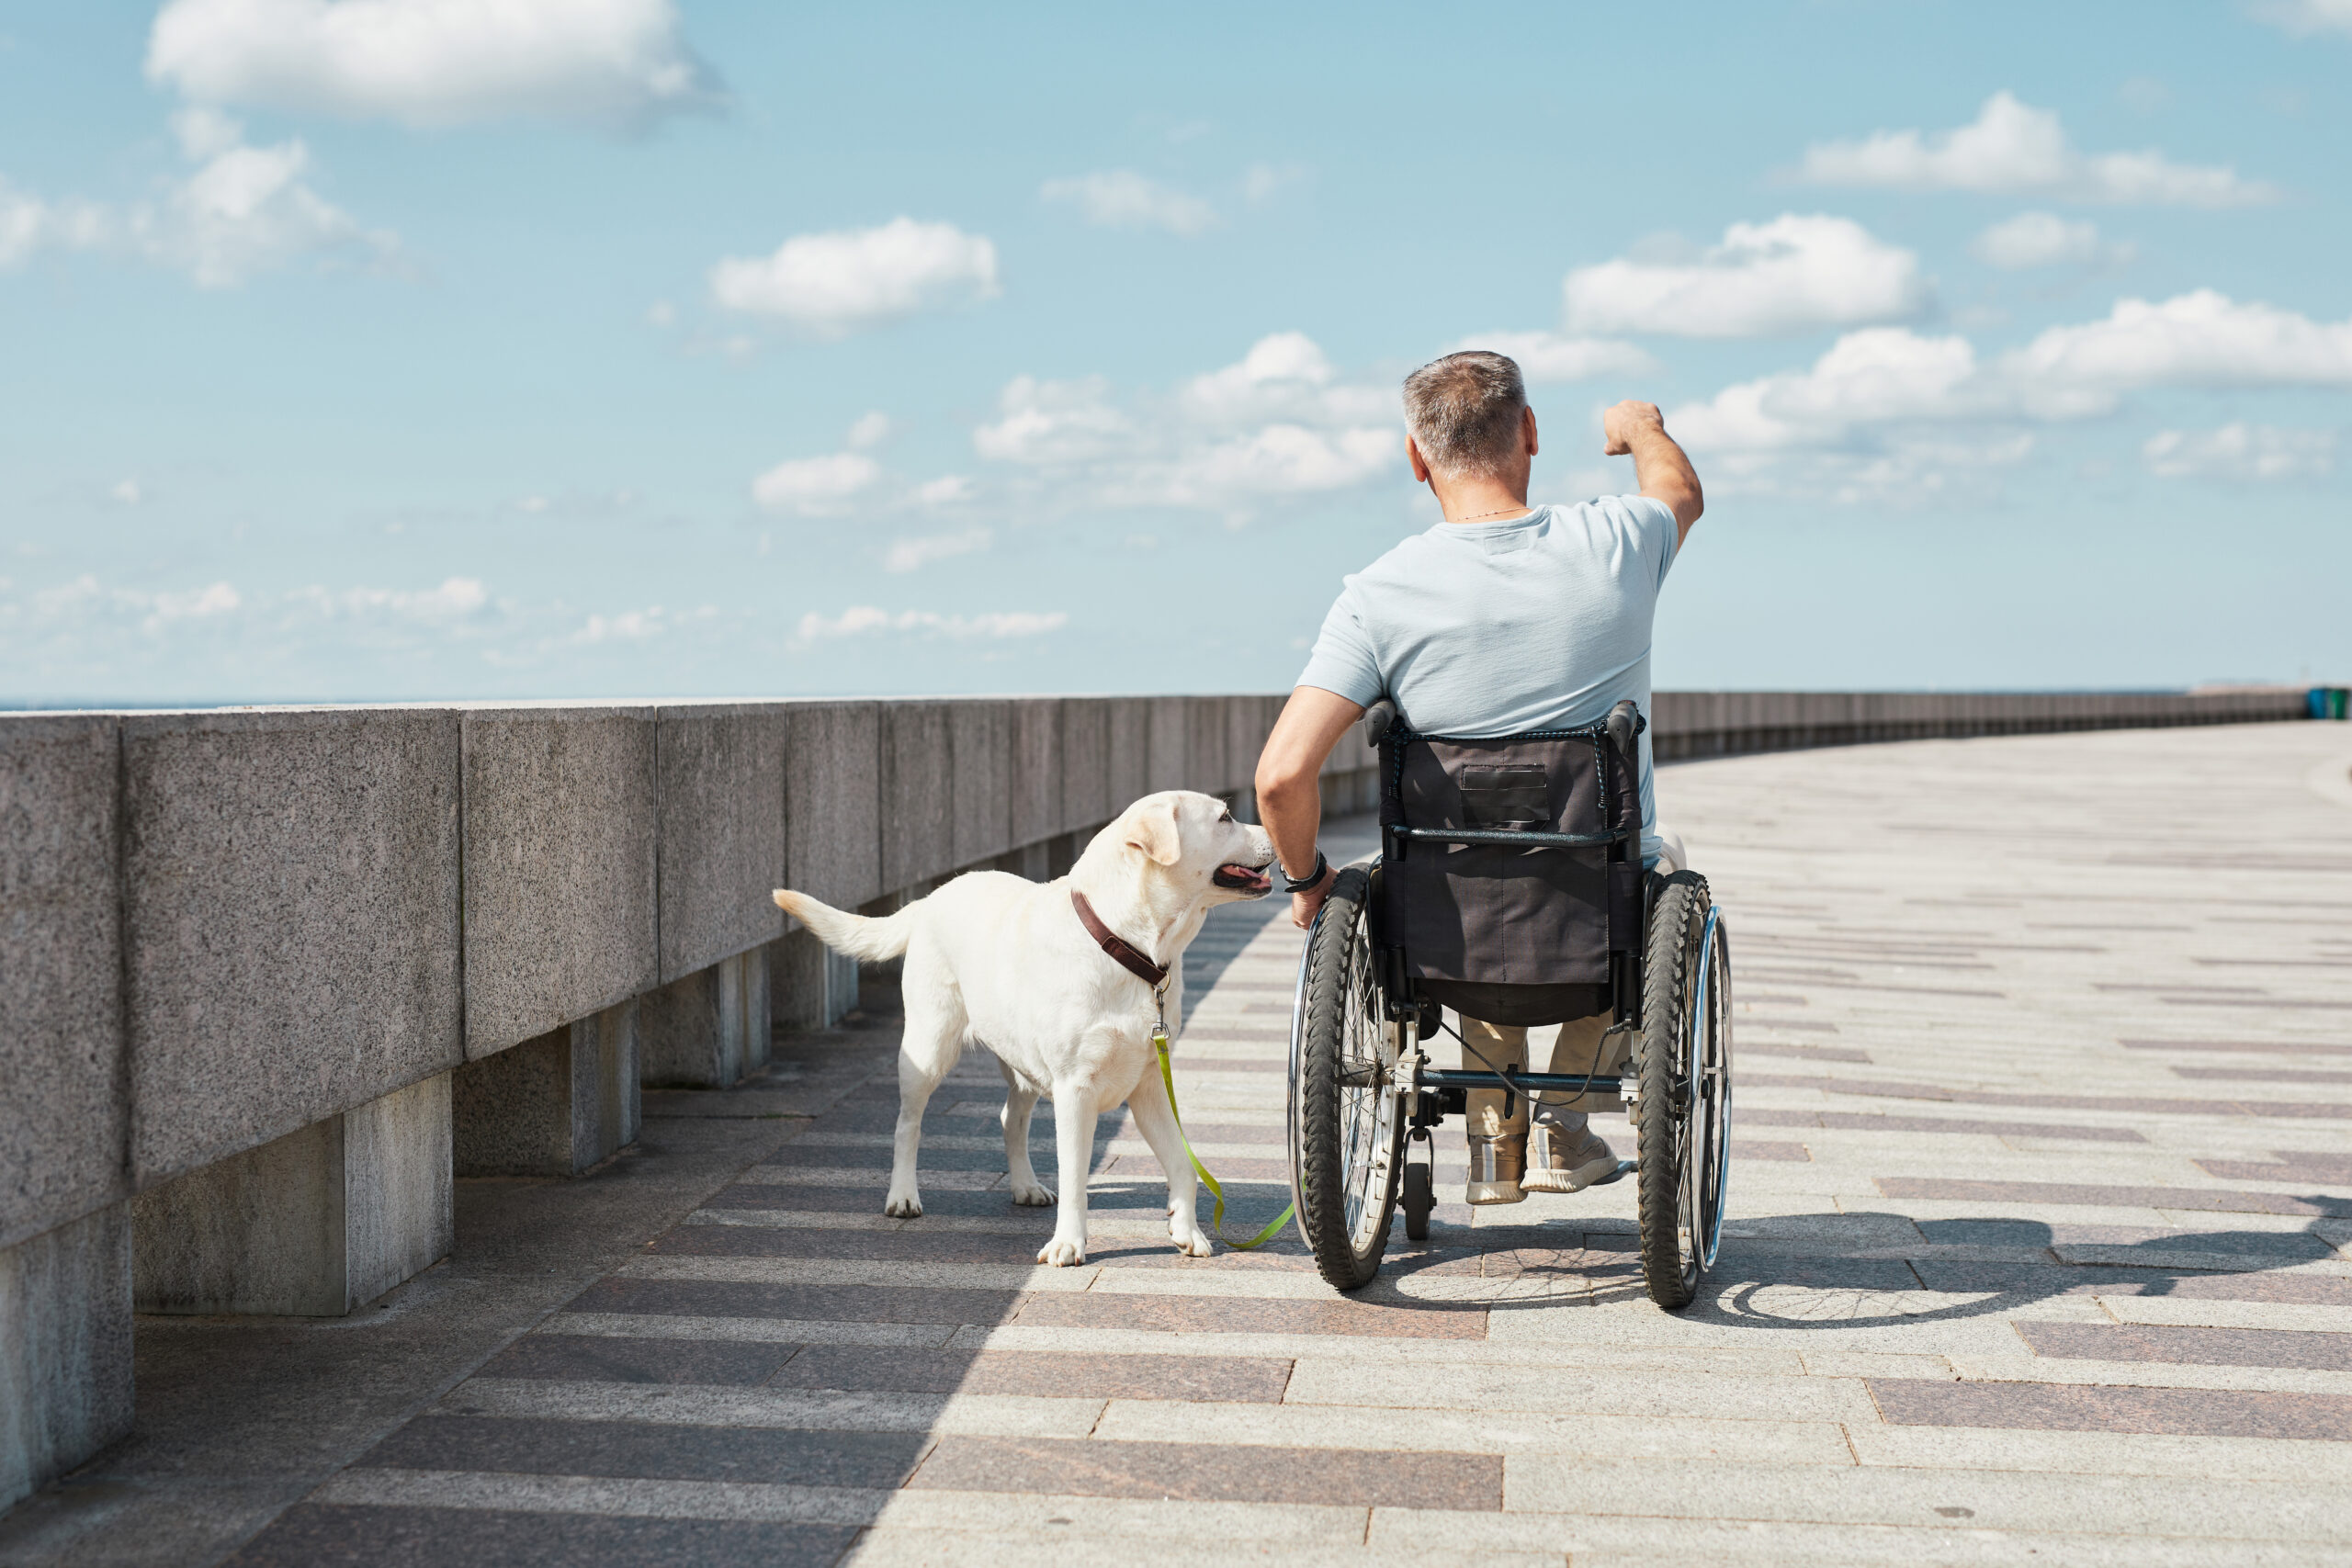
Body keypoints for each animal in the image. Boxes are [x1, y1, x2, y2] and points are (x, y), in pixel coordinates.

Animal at [775, 789, 1279, 1269]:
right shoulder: (1076, 1089)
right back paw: (902, 1195)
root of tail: (930, 898)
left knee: (1009, 1119)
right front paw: (1068, 1244)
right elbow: (1075, 1176)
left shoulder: (1150, 1084)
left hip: (1022, 1063)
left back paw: (1025, 1186)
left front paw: (1187, 1230)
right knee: (907, 1124)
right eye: (1225, 818)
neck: (1127, 947)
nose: (1277, 830)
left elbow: (1182, 1163)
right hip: (927, 1047)